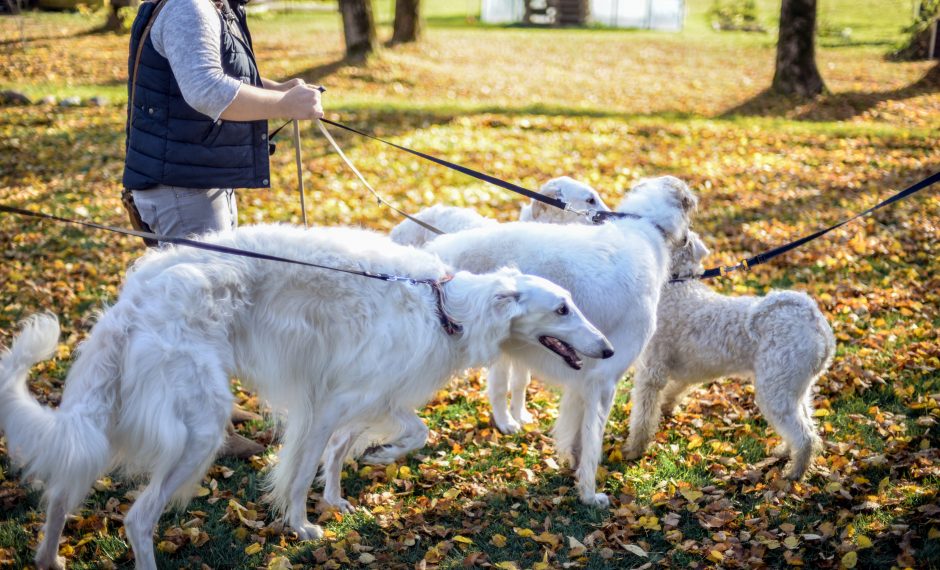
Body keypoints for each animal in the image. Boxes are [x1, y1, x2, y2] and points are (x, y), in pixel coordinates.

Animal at [0, 223, 612, 568]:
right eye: (562, 308)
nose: (607, 349)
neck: (445, 308)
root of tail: (132, 301)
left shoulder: (365, 395)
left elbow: (358, 446)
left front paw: (344, 493)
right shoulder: (334, 402)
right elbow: (310, 469)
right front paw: (304, 524)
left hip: (111, 418)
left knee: (60, 492)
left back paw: (49, 559)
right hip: (197, 429)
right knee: (136, 519)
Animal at [422, 175, 692, 504]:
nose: (687, 239)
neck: (645, 227)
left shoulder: (582, 373)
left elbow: (575, 430)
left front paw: (573, 465)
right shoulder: (605, 378)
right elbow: (592, 439)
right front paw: (589, 493)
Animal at [628, 231, 832, 480]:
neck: (676, 285)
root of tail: (813, 319)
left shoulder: (651, 373)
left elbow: (643, 417)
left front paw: (634, 449)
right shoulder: (690, 370)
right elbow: (673, 392)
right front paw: (667, 408)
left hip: (775, 392)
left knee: (804, 437)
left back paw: (793, 473)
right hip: (795, 391)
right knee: (806, 427)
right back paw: (784, 452)